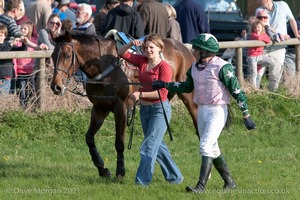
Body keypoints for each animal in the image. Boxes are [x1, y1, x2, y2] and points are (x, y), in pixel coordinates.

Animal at [50, 30, 198, 178]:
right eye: (52, 56)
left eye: (68, 56)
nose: (56, 87)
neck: (104, 67)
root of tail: (185, 48)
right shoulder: (100, 107)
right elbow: (89, 138)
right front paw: (102, 169)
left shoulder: (121, 107)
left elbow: (119, 142)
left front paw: (120, 171)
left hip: (188, 96)